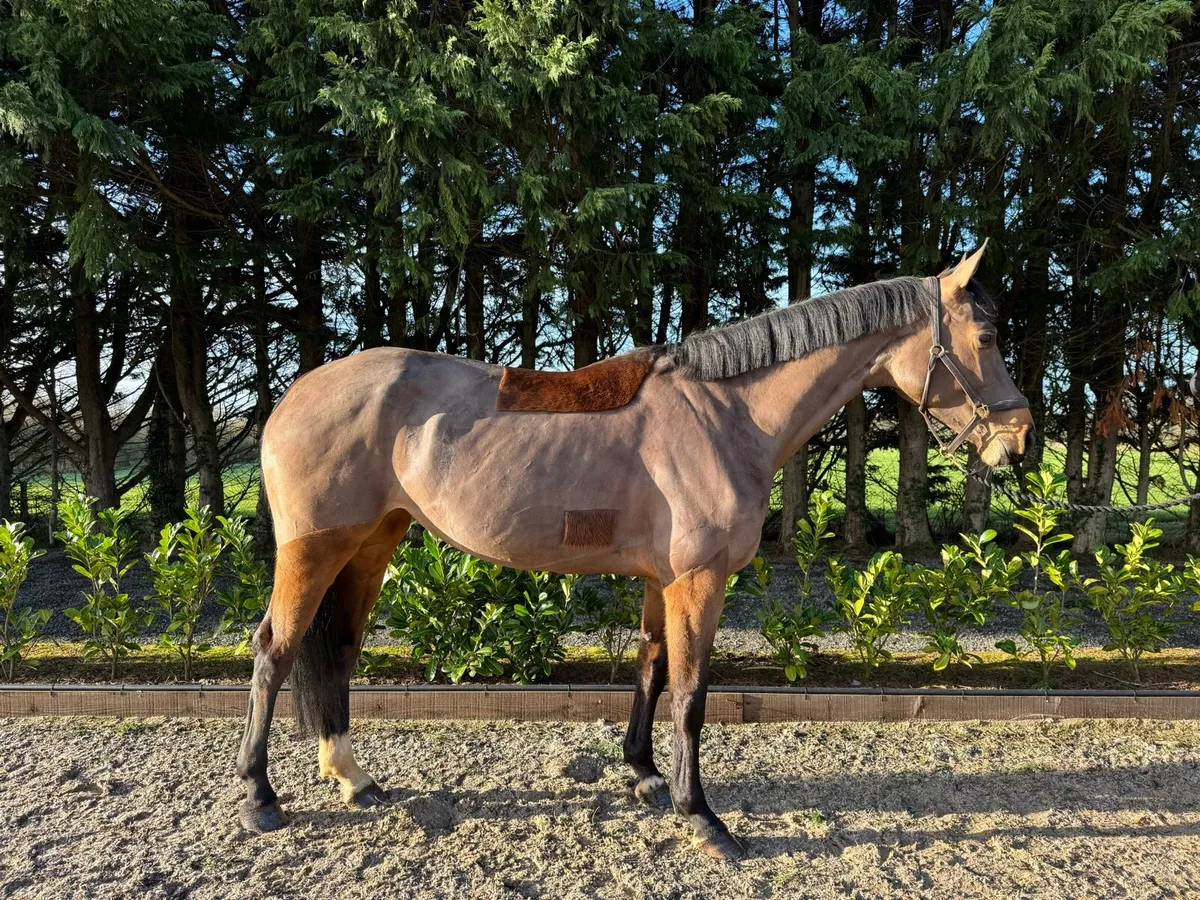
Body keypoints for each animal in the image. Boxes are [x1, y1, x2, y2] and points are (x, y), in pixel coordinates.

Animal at [236, 245, 1033, 861]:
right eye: (988, 336)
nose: (1020, 437)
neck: (728, 413)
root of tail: (292, 398)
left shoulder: (664, 580)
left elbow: (651, 669)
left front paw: (645, 776)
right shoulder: (700, 581)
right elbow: (691, 694)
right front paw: (701, 816)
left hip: (374, 540)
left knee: (337, 651)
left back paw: (352, 775)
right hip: (315, 549)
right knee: (276, 649)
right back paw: (258, 795)